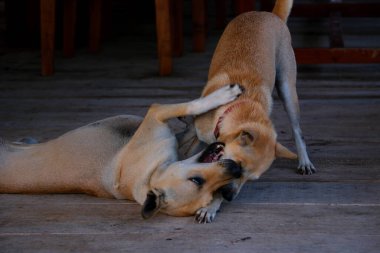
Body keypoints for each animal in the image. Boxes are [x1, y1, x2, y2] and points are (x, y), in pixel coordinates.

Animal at [0, 85, 242, 219]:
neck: (150, 175)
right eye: (196, 181)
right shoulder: (155, 115)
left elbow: (191, 130)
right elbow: (192, 107)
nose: (236, 169)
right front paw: (222, 96)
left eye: (212, 193)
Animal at [193, 0, 314, 222]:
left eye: (251, 179)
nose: (229, 197)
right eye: (236, 167)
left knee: (297, 130)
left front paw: (212, 205)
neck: (244, 104)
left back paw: (304, 161)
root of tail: (269, 14)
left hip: (287, 89)